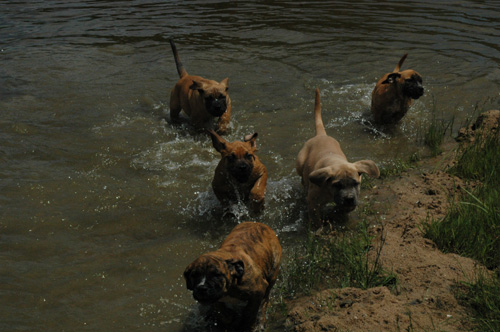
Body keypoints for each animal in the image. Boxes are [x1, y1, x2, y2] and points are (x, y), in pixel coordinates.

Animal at [296, 88, 378, 226]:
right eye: (337, 185)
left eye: (355, 183)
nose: (349, 199)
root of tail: (321, 135)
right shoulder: (313, 202)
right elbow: (315, 218)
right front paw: (317, 228)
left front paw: (340, 213)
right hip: (300, 163)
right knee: (302, 176)